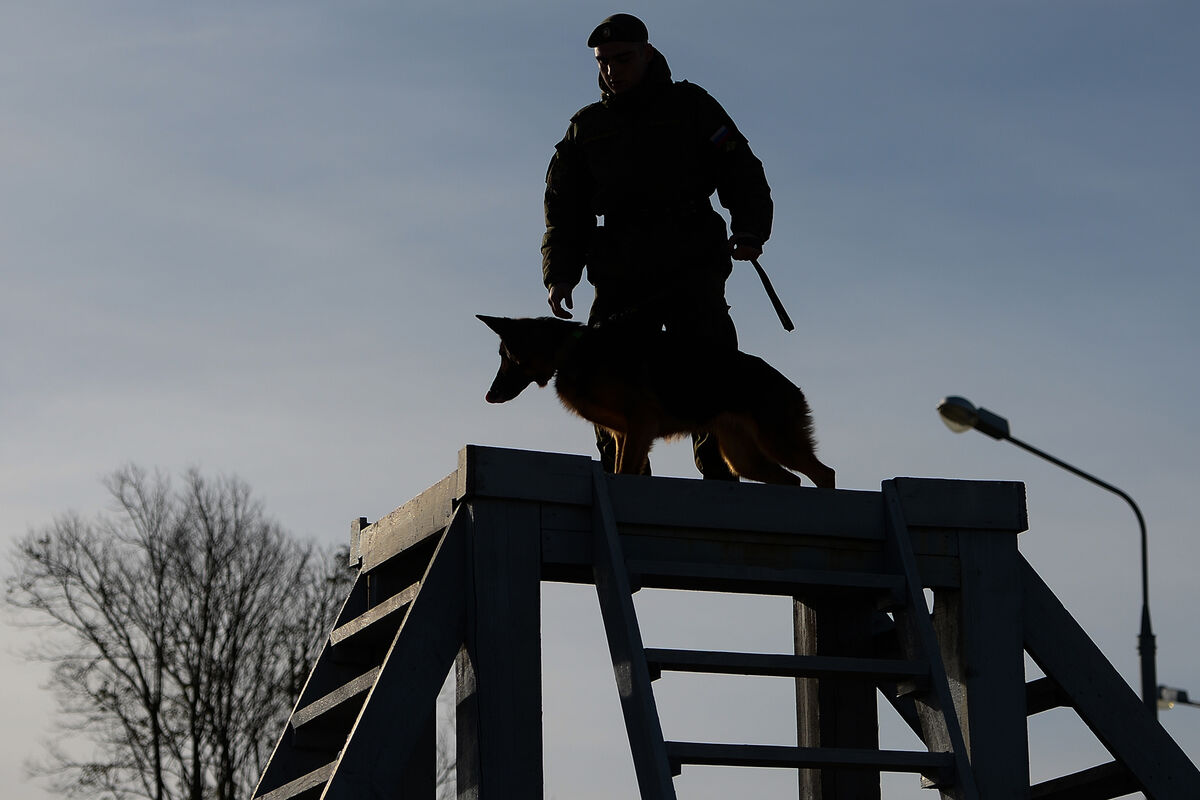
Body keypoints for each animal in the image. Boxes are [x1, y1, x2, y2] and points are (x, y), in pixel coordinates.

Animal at [477, 314, 835, 489]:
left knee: (824, 474)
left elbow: (625, 472)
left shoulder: (641, 424)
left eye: (505, 357)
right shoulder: (624, 434)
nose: (489, 395)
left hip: (778, 443)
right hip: (742, 457)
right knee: (793, 479)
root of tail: (793, 387)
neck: (571, 349)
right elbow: (621, 469)